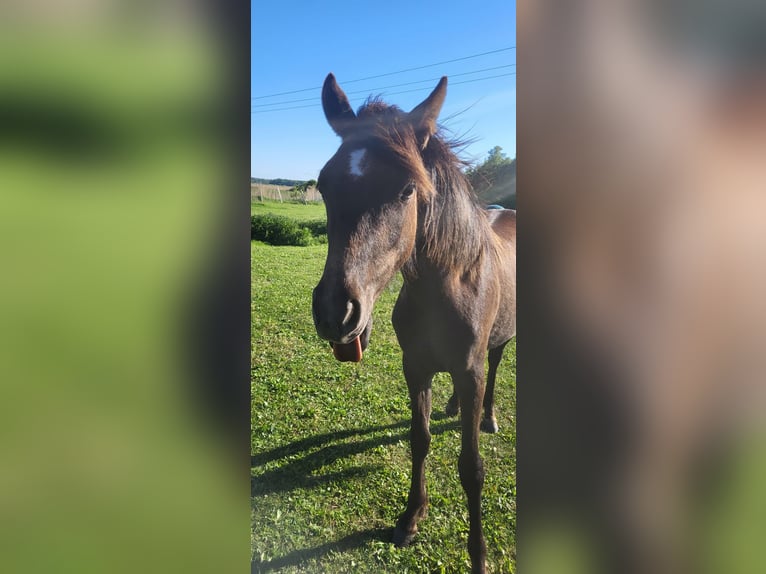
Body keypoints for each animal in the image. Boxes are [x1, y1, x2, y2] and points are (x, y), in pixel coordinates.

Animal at [310, 73, 516, 574]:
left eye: (407, 189)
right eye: (324, 185)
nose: (335, 313)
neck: (444, 288)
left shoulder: (469, 370)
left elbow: (471, 467)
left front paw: (479, 554)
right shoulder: (415, 368)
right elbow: (419, 438)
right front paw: (410, 517)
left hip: (494, 350)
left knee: (496, 365)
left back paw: (488, 416)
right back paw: (454, 408)